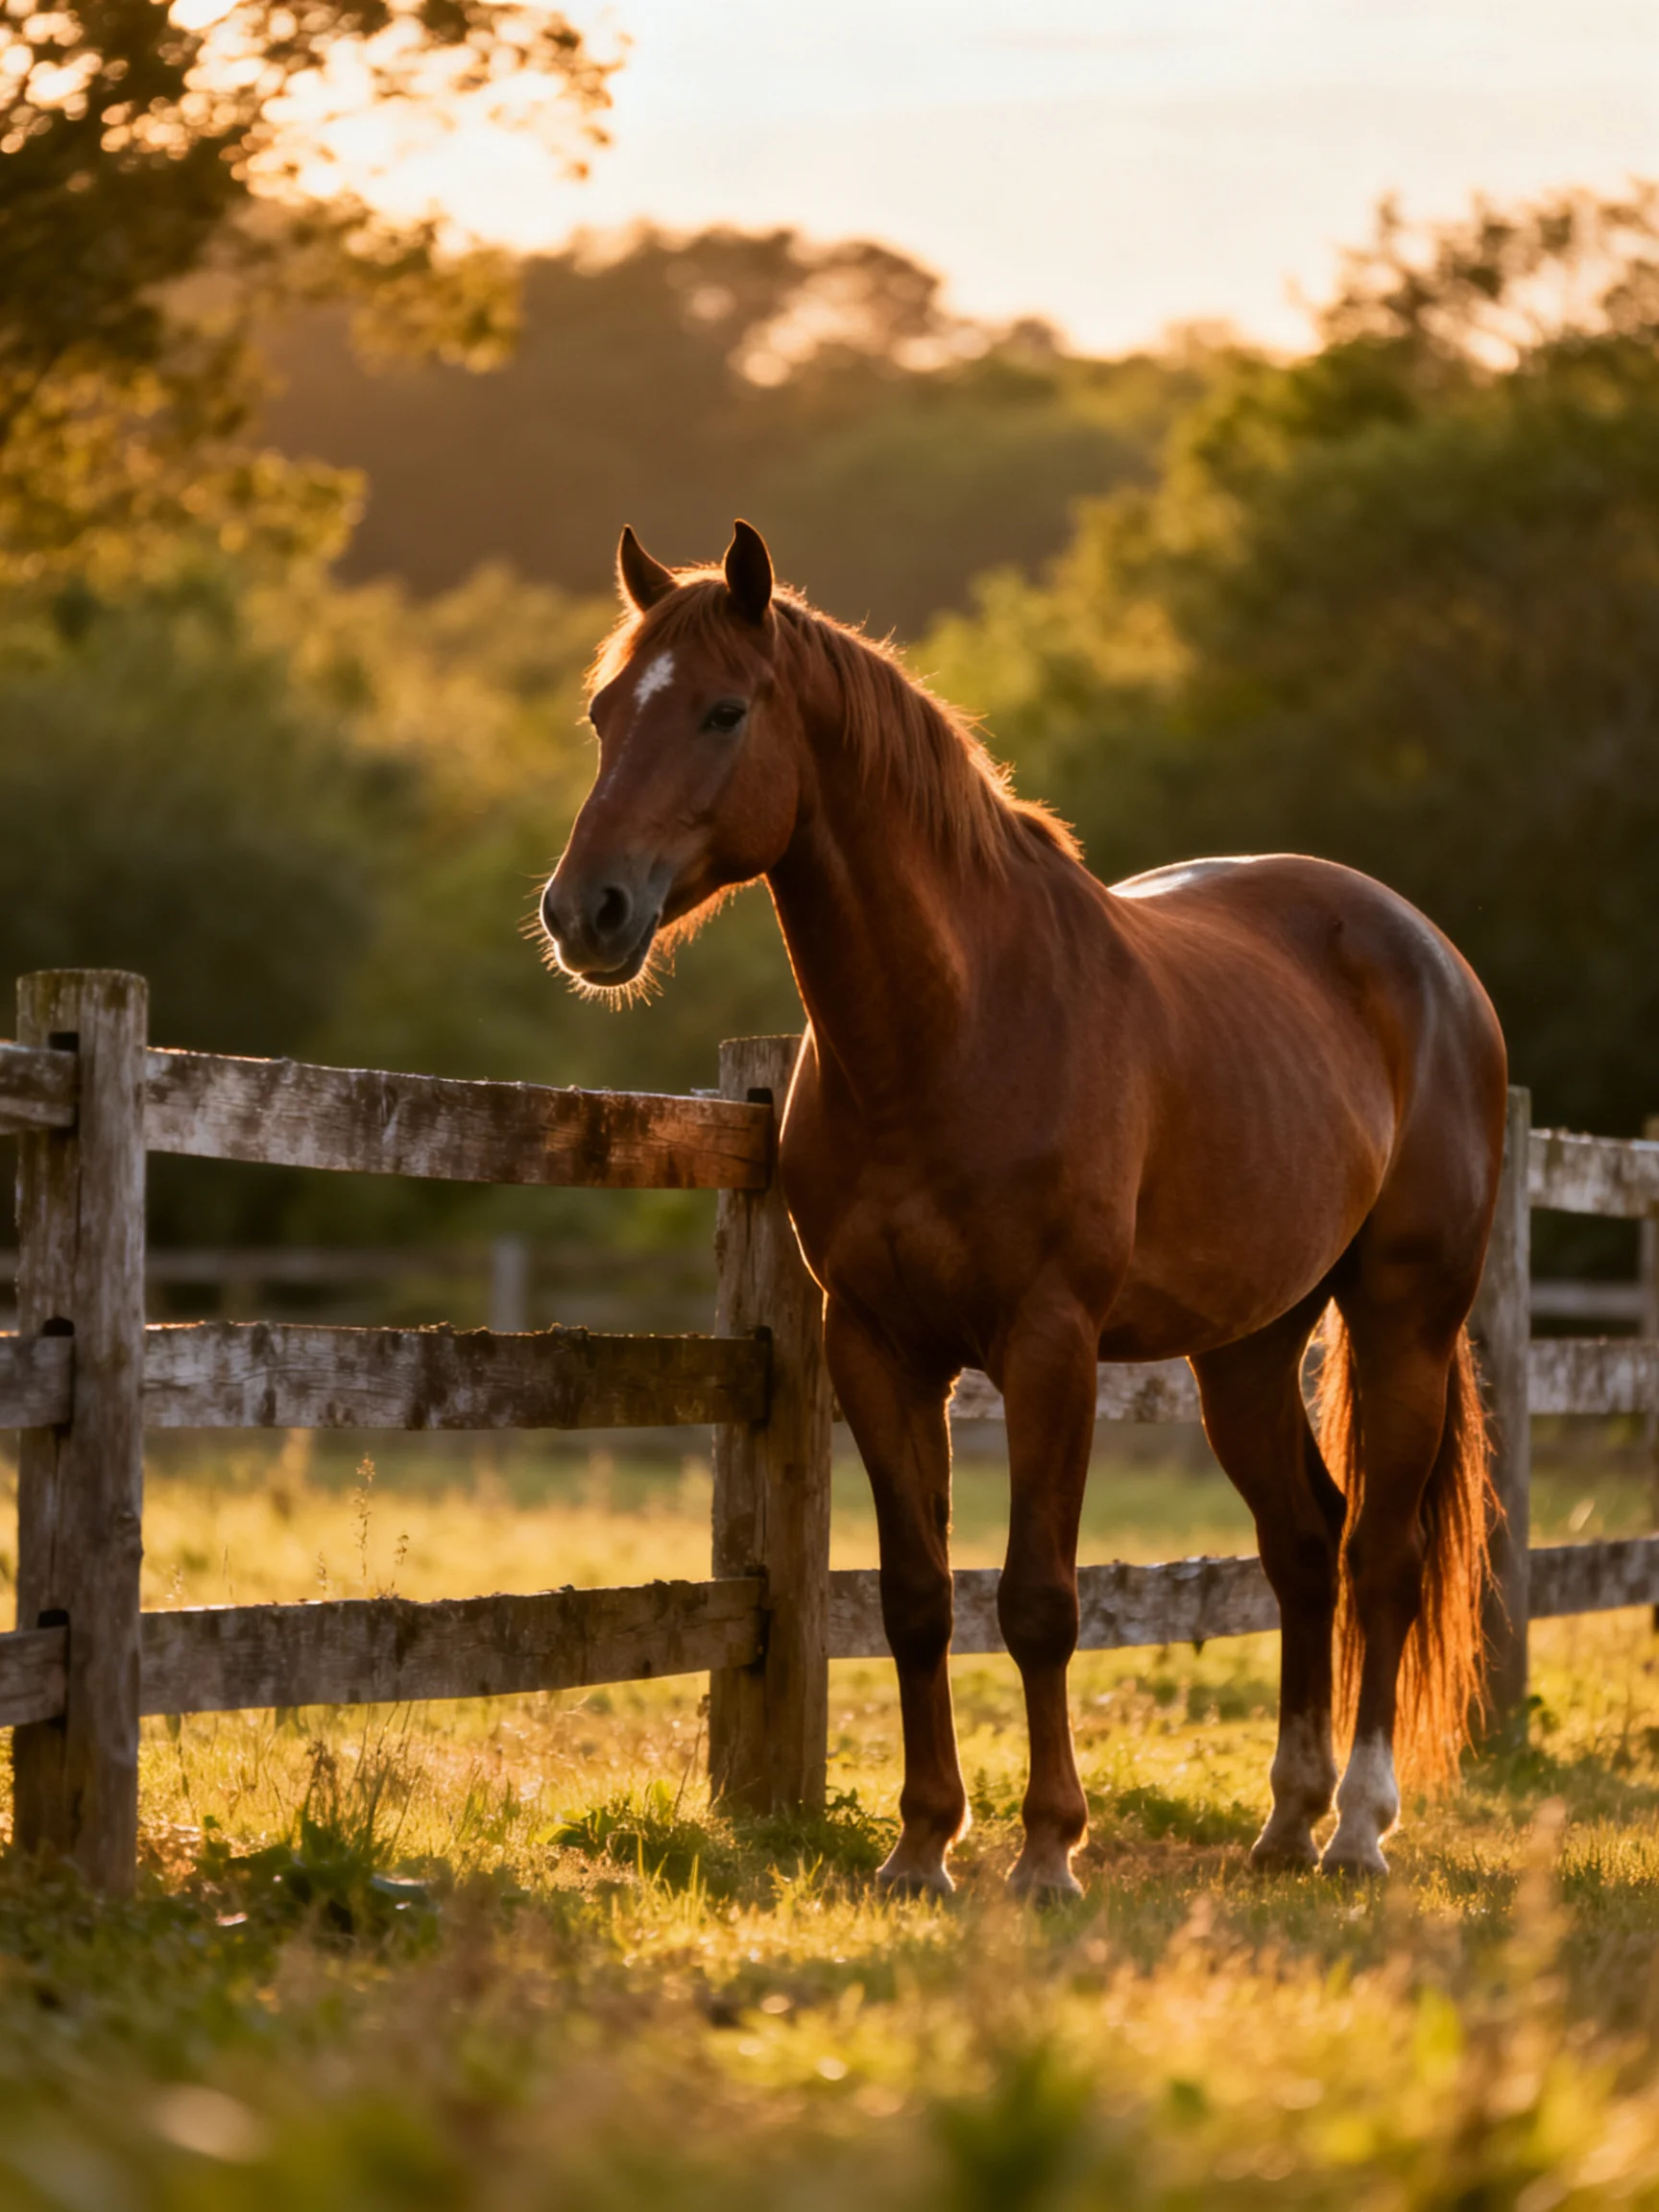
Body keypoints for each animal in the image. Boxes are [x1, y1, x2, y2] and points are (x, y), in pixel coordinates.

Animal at [538, 520, 1506, 1898]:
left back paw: (1360, 1829)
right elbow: (916, 1598)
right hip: (1246, 1351)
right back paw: (1286, 1821)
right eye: (605, 711)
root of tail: (1430, 956)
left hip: (1402, 1321)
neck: (954, 1026)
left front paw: (1048, 1852)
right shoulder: (877, 1348)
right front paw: (921, 1846)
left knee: (1381, 1557)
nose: (586, 912)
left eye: (725, 710)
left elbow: (1039, 1600)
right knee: (1304, 1544)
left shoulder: (1051, 1346)